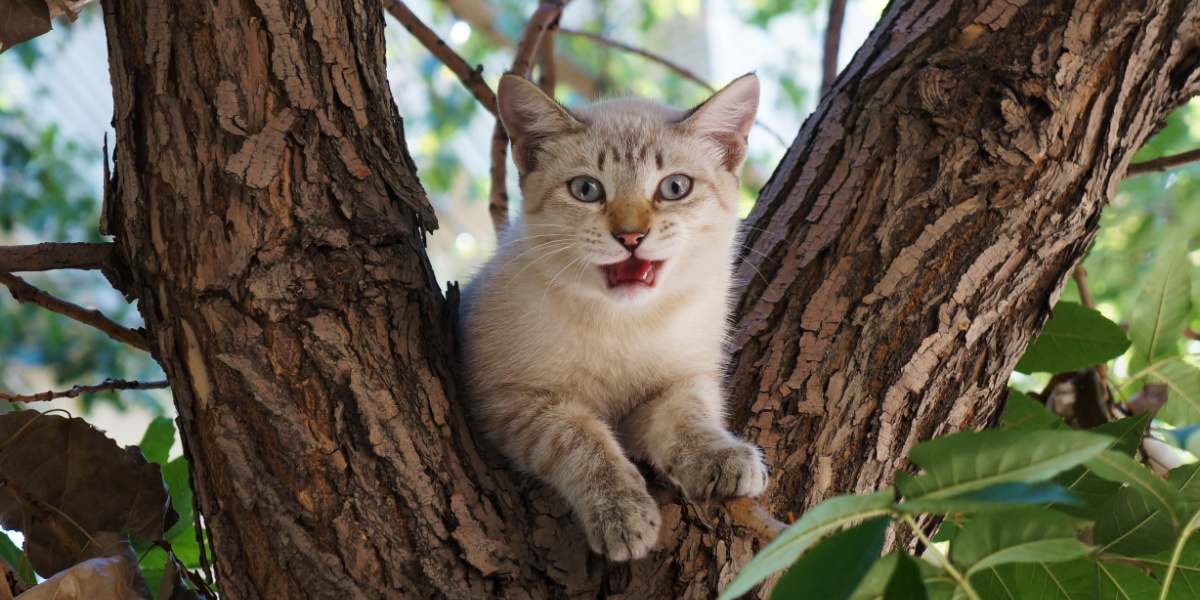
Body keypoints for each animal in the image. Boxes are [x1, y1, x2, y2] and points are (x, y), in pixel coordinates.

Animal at [458, 72, 768, 559]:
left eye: (674, 188)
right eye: (586, 190)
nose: (631, 236)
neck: (626, 323)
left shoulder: (681, 380)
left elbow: (690, 415)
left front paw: (721, 456)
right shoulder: (512, 399)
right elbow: (583, 440)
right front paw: (621, 511)